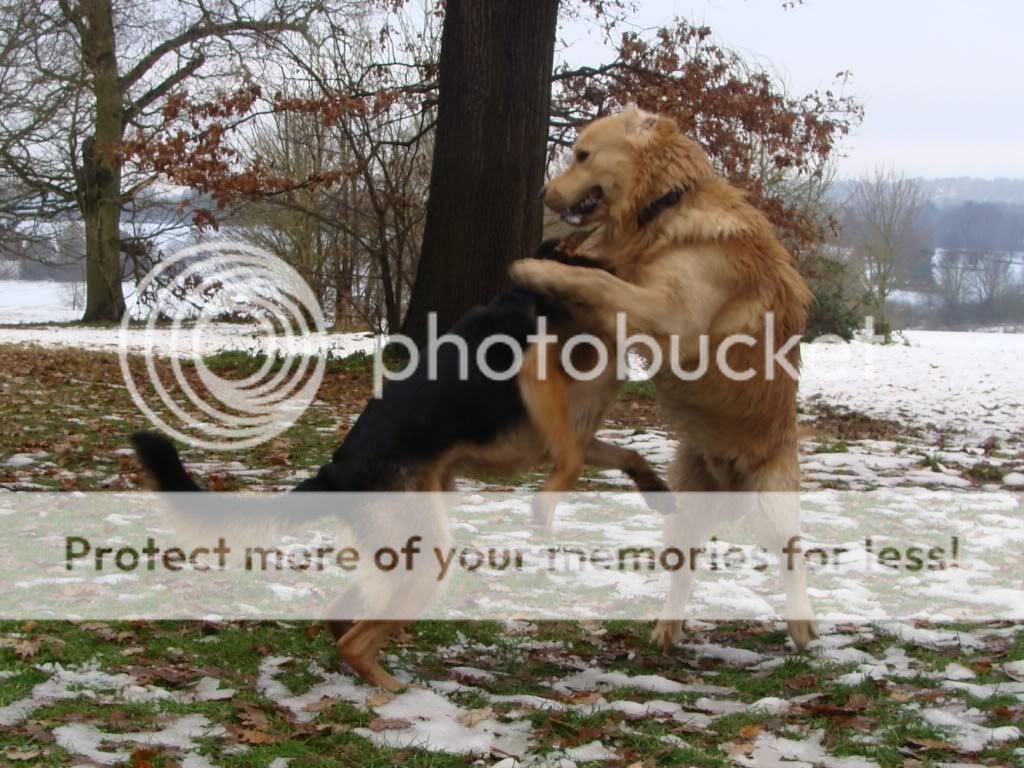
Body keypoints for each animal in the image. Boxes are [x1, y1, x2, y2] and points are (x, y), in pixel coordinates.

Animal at [132, 240, 667, 692]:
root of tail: (336, 473)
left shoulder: (569, 430)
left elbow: (627, 453)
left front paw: (656, 488)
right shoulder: (542, 392)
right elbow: (572, 460)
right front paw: (546, 506)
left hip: (401, 550)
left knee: (340, 617)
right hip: (425, 558)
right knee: (354, 641)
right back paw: (396, 694)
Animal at [507, 103, 819, 651]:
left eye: (582, 155)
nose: (543, 193)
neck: (665, 206)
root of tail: (730, 483)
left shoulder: (670, 315)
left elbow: (597, 279)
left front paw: (538, 269)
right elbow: (600, 271)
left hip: (774, 503)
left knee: (792, 557)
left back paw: (801, 625)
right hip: (684, 507)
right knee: (685, 571)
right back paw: (665, 629)